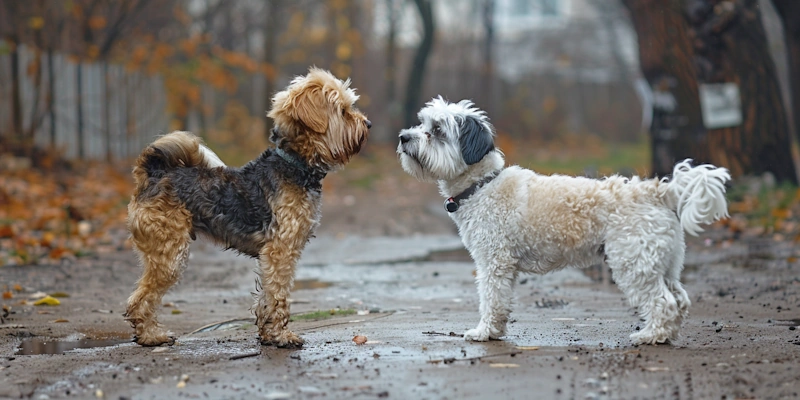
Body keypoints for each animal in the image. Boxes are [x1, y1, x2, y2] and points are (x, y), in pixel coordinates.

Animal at [125, 69, 372, 346]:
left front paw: (268, 334)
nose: (368, 124)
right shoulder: (281, 251)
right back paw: (151, 336)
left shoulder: (272, 256)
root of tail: (152, 173)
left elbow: (267, 297)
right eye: (343, 110)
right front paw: (282, 335)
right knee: (139, 299)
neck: (294, 164)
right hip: (170, 256)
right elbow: (279, 296)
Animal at [396, 97, 728, 344]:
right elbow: (502, 302)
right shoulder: (505, 266)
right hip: (663, 263)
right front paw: (496, 331)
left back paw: (650, 336)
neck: (483, 184)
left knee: (664, 302)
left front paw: (484, 332)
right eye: (422, 123)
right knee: (680, 300)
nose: (403, 137)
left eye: (438, 130)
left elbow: (491, 299)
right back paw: (666, 335)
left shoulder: (494, 262)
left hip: (634, 264)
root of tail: (658, 191)